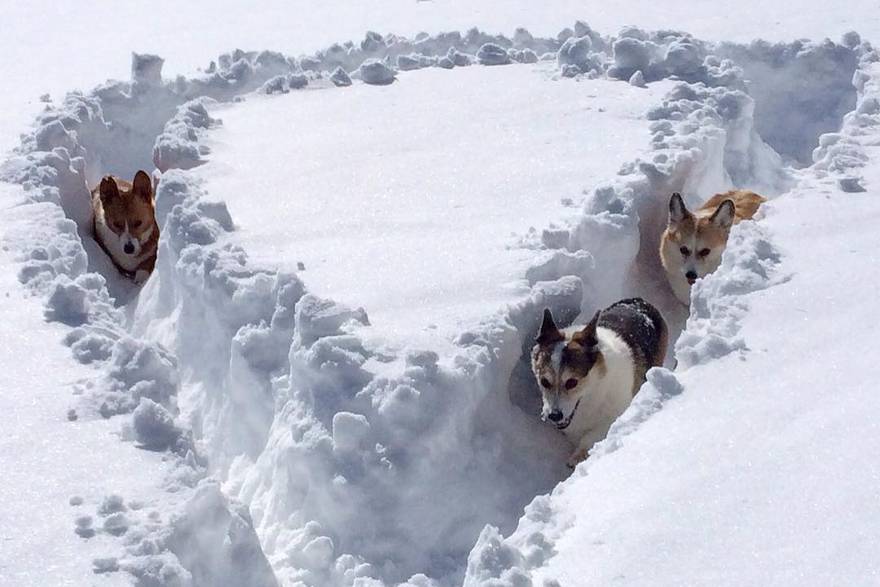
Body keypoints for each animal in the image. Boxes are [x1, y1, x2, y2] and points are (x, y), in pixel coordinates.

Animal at [528, 298, 668, 468]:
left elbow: (593, 436)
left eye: (572, 382)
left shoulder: (614, 413)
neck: (594, 390)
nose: (554, 416)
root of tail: (640, 301)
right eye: (544, 381)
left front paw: (578, 457)